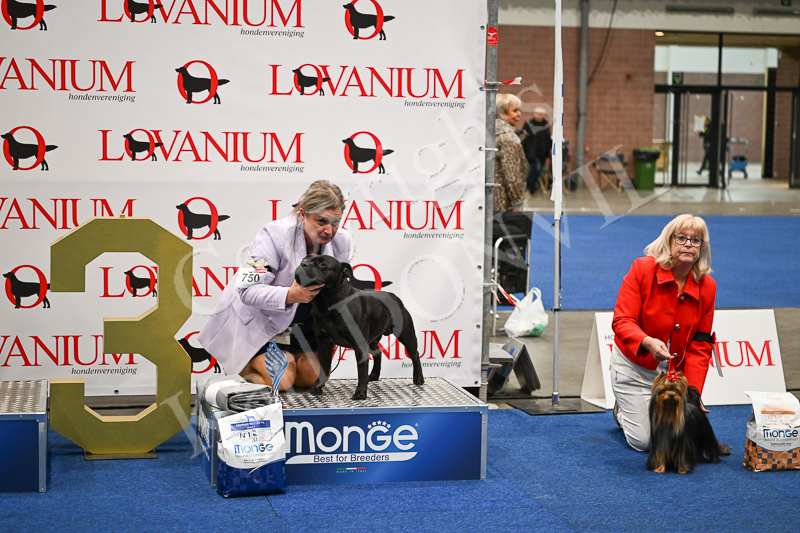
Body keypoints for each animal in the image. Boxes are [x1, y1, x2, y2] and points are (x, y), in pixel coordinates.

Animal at [294, 254, 424, 400]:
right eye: (305, 258)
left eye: (322, 264)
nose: (303, 264)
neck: (327, 303)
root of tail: (395, 297)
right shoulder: (323, 342)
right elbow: (323, 367)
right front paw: (317, 387)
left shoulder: (359, 344)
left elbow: (361, 370)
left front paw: (360, 393)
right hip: (372, 340)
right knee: (378, 353)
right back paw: (374, 375)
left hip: (406, 335)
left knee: (414, 354)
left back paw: (418, 378)